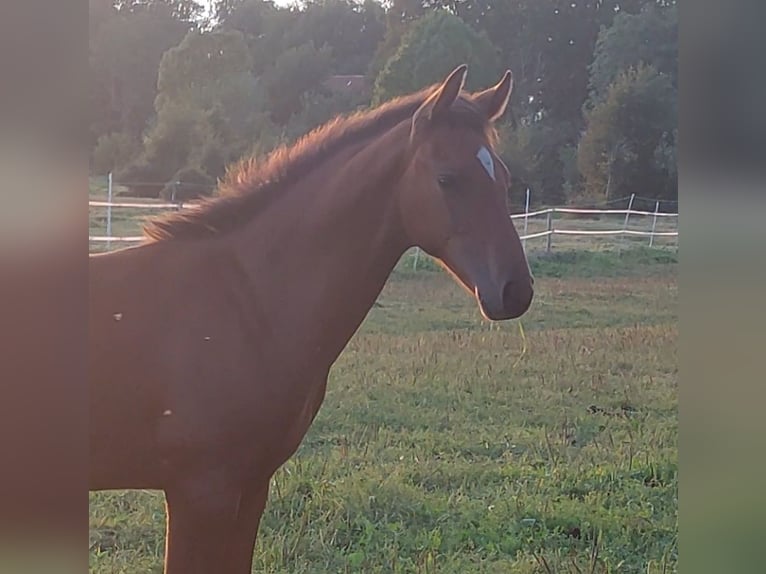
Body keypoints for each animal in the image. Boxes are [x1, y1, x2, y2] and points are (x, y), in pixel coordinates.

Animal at [90, 65, 536, 572]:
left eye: (503, 178)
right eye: (447, 178)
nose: (515, 291)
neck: (245, 301)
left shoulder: (250, 486)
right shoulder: (200, 493)